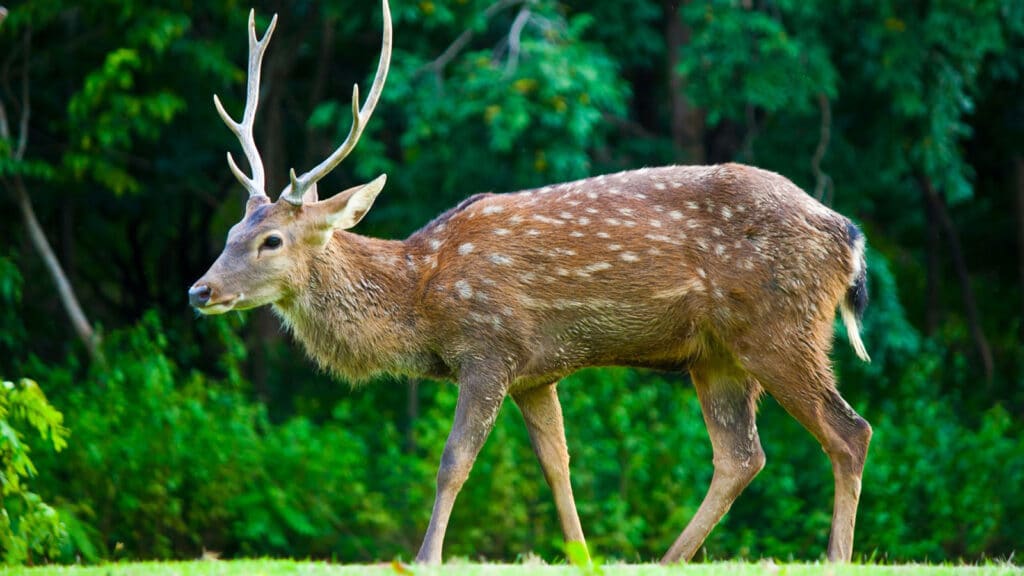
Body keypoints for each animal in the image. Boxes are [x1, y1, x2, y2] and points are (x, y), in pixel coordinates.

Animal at [190, 0, 872, 561]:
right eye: (231, 231)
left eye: (271, 240)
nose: (200, 290)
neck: (421, 295)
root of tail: (848, 237)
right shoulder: (537, 372)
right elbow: (557, 466)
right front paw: (580, 556)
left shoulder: (489, 347)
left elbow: (453, 460)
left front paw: (425, 557)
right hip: (717, 355)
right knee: (741, 456)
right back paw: (669, 560)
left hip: (783, 328)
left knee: (849, 432)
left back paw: (833, 557)